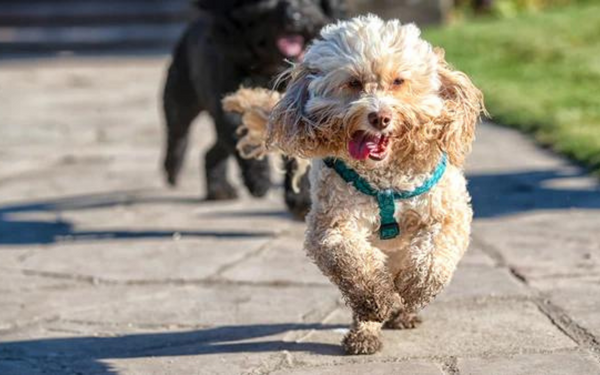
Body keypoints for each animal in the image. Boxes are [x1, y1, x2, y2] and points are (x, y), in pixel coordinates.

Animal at [162, 0, 346, 219]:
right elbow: (246, 144)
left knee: (211, 152)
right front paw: (259, 180)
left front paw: (299, 199)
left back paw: (219, 190)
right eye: (269, 3)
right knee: (177, 135)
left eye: (309, 2)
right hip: (180, 101)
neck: (271, 66)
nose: (295, 17)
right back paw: (173, 169)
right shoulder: (231, 106)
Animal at [223, 14, 486, 356]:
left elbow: (432, 260)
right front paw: (376, 301)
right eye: (353, 83)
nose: (380, 117)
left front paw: (415, 291)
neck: (385, 179)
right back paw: (366, 332)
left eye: (398, 81)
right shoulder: (333, 225)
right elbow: (353, 264)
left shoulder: (447, 214)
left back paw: (402, 310)